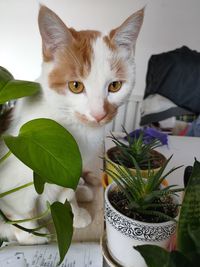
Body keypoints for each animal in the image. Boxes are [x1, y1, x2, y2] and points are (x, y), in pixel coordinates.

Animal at [0, 5, 144, 245]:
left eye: (115, 86)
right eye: (75, 86)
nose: (99, 114)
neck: (73, 129)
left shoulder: (67, 165)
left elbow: (66, 192)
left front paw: (75, 213)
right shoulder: (15, 180)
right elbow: (21, 212)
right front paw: (31, 236)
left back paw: (83, 190)